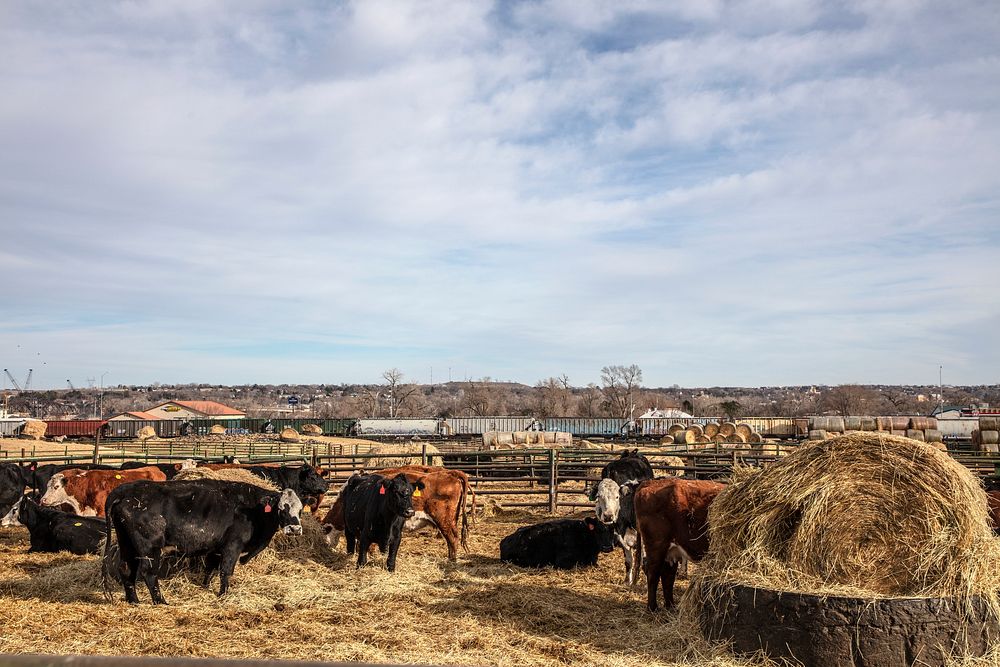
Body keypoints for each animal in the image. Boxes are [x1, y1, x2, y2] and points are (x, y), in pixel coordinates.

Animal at [104, 480, 304, 604]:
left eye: (300, 510)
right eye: (282, 509)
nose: (295, 529)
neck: (253, 509)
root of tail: (127, 489)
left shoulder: (215, 548)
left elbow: (210, 569)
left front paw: (205, 586)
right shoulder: (232, 545)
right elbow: (225, 571)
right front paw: (223, 594)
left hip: (127, 543)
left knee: (126, 568)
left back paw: (134, 601)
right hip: (150, 547)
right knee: (148, 573)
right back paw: (160, 601)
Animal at [636, 478, 724, 612]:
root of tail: (649, 482)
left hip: (671, 549)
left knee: (667, 574)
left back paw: (670, 606)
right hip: (656, 546)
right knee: (652, 572)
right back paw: (653, 607)